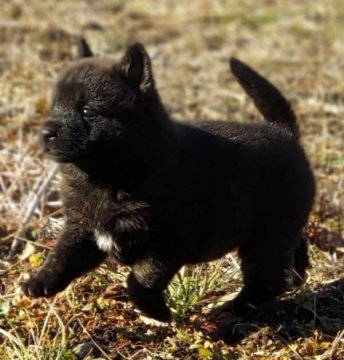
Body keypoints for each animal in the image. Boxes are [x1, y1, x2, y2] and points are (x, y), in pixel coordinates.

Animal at [22, 39, 316, 320]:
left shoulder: (167, 243)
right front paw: (40, 281)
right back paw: (295, 277)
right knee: (293, 251)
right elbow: (62, 255)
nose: (46, 132)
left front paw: (157, 313)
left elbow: (139, 279)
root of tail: (284, 131)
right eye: (54, 107)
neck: (110, 176)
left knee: (266, 280)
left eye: (86, 111)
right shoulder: (83, 229)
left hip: (265, 237)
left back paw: (232, 309)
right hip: (278, 231)